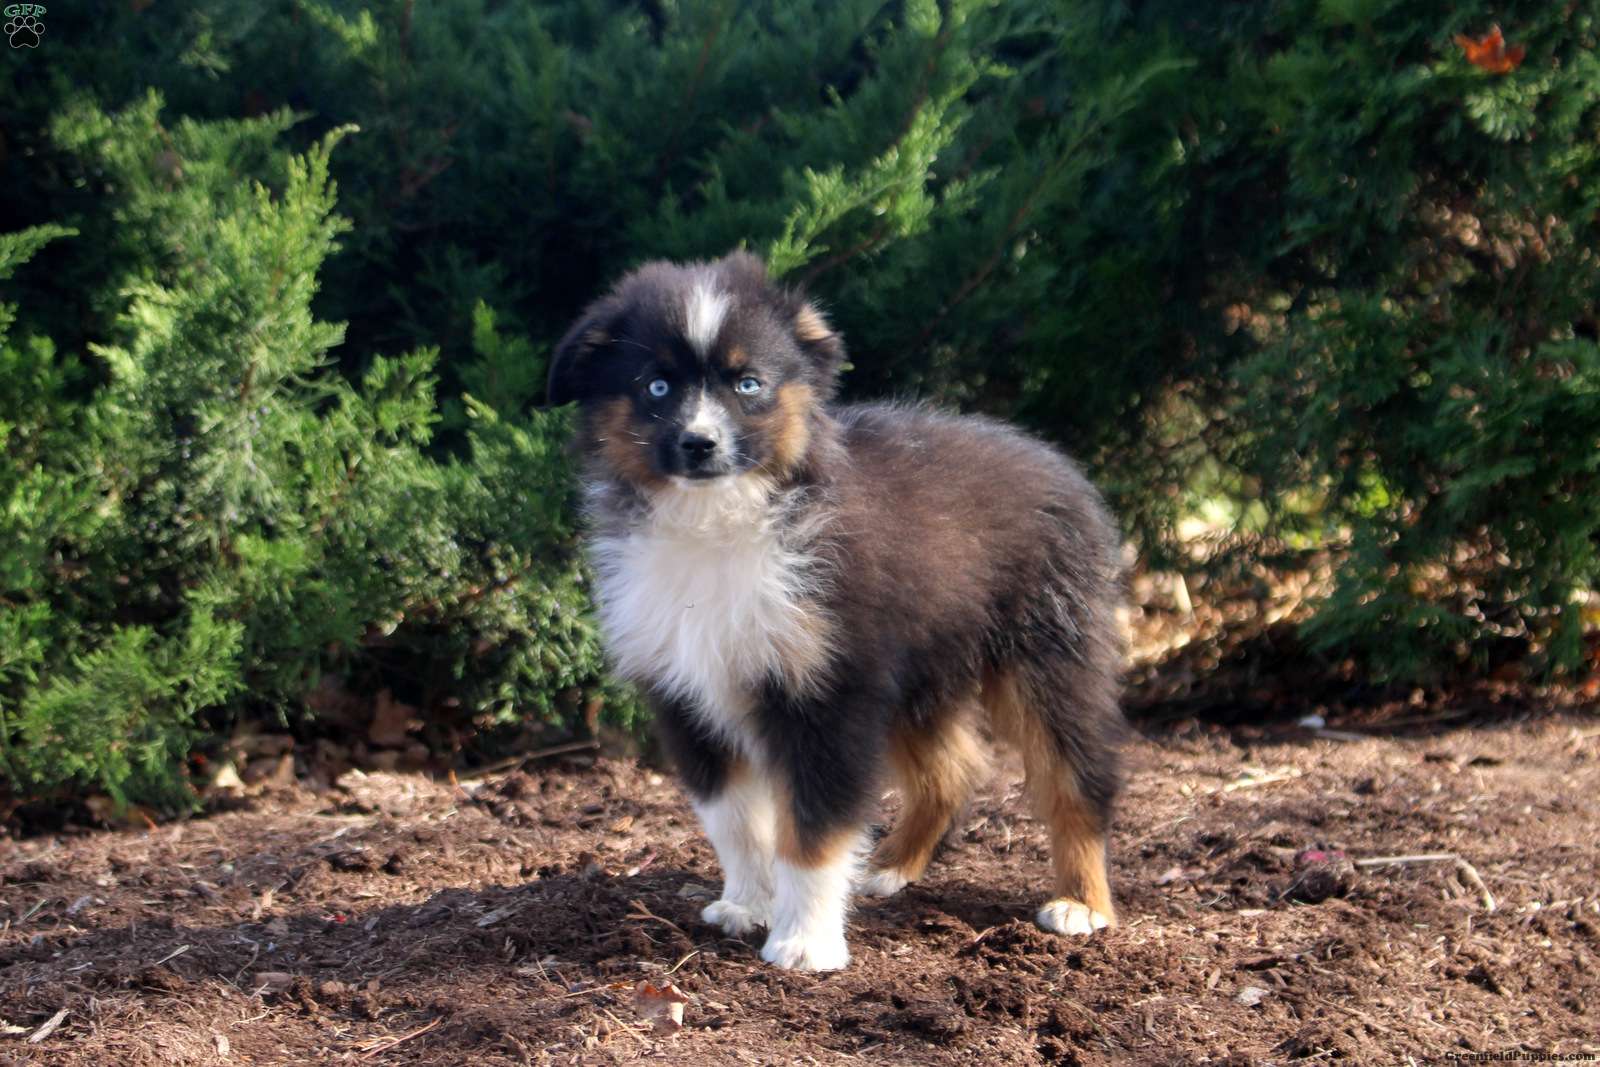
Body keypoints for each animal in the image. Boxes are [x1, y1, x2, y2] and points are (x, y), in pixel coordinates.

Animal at [548, 251, 1126, 971]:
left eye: (749, 384)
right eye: (655, 387)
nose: (699, 444)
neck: (720, 518)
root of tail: (1057, 462)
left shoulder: (827, 690)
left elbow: (814, 826)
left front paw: (805, 940)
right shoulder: (689, 692)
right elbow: (735, 819)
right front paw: (748, 904)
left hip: (1047, 649)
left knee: (1077, 776)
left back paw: (1082, 902)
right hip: (921, 664)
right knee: (951, 771)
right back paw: (889, 867)